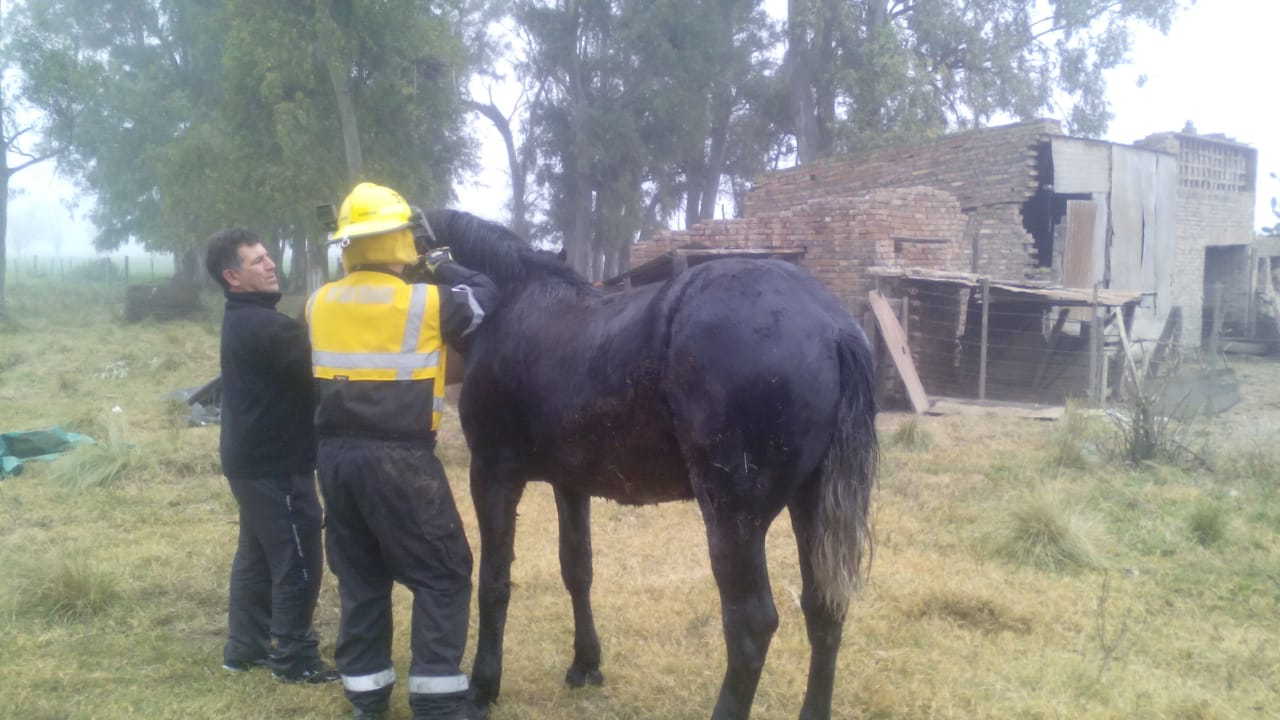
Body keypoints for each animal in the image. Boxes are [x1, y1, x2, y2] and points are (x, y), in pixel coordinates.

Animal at [424, 209, 878, 720]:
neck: (508, 303)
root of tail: (832, 326)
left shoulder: (492, 475)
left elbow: (494, 581)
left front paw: (483, 685)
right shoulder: (570, 484)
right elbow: (577, 569)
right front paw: (586, 664)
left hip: (734, 520)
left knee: (750, 625)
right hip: (811, 506)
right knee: (825, 608)